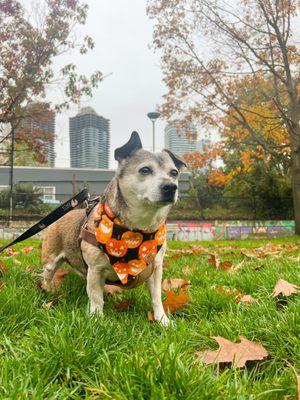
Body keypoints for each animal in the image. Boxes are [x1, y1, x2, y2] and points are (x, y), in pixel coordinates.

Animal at [39, 131, 185, 324]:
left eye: (174, 173)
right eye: (145, 170)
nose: (171, 186)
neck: (138, 230)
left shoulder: (156, 269)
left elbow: (156, 298)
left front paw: (163, 321)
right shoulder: (95, 270)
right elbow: (96, 298)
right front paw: (96, 320)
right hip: (50, 260)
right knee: (47, 275)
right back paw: (48, 291)